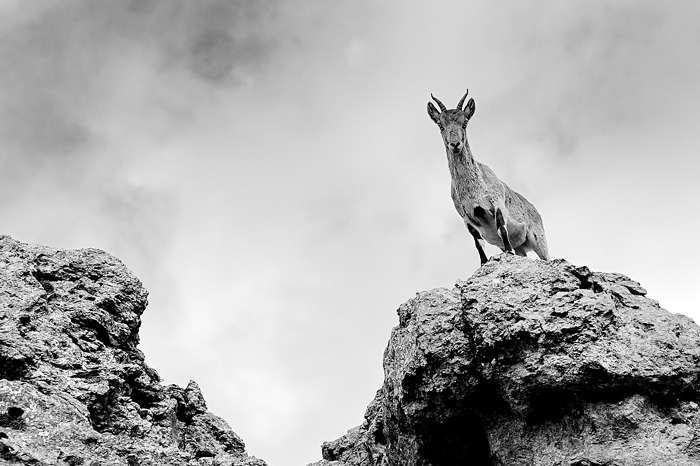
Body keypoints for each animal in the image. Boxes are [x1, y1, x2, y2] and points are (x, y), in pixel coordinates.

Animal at [430, 91, 548, 266]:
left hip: (539, 239)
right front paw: (484, 262)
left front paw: (508, 251)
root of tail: (535, 210)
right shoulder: (466, 217)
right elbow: (478, 242)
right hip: (521, 246)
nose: (455, 144)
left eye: (465, 123)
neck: (474, 190)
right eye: (440, 125)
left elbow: (501, 228)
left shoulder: (496, 202)